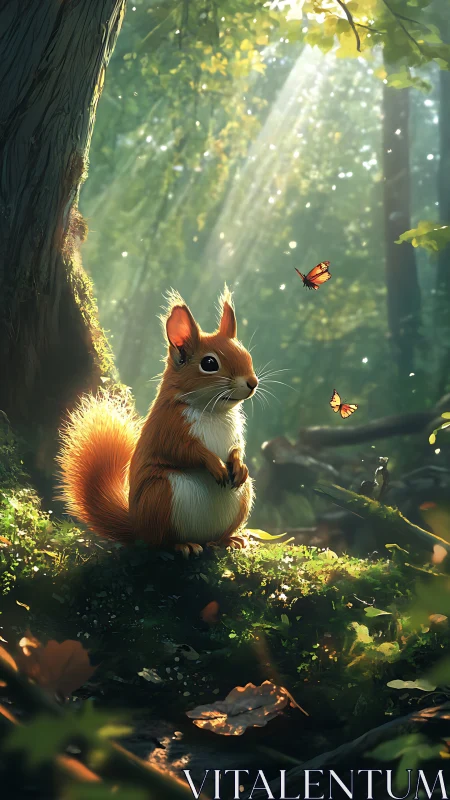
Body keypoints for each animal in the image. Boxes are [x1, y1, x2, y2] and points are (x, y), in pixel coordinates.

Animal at [57, 288, 258, 556]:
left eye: (247, 354)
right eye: (209, 364)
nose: (253, 383)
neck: (212, 411)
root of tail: (136, 526)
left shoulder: (235, 431)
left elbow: (237, 447)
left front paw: (239, 464)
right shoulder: (168, 427)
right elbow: (184, 451)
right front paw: (214, 464)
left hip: (243, 496)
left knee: (214, 536)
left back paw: (228, 540)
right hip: (160, 496)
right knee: (159, 541)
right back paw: (183, 545)